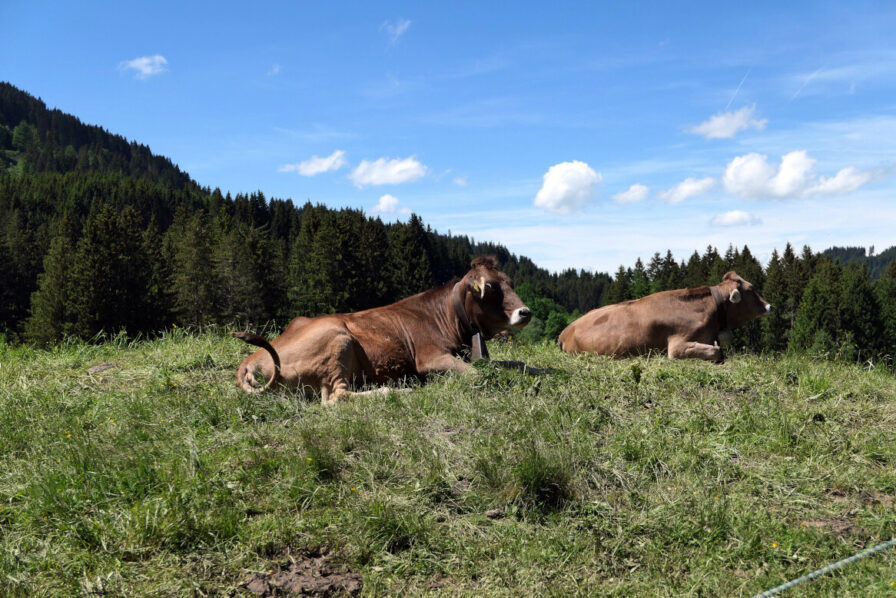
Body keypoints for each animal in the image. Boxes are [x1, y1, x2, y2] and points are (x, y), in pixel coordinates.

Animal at [233, 255, 532, 406]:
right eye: (490, 287)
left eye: (510, 282)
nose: (525, 312)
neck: (445, 318)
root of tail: (248, 361)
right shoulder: (430, 358)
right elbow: (477, 375)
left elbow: (516, 364)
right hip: (336, 341)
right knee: (335, 398)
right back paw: (400, 392)